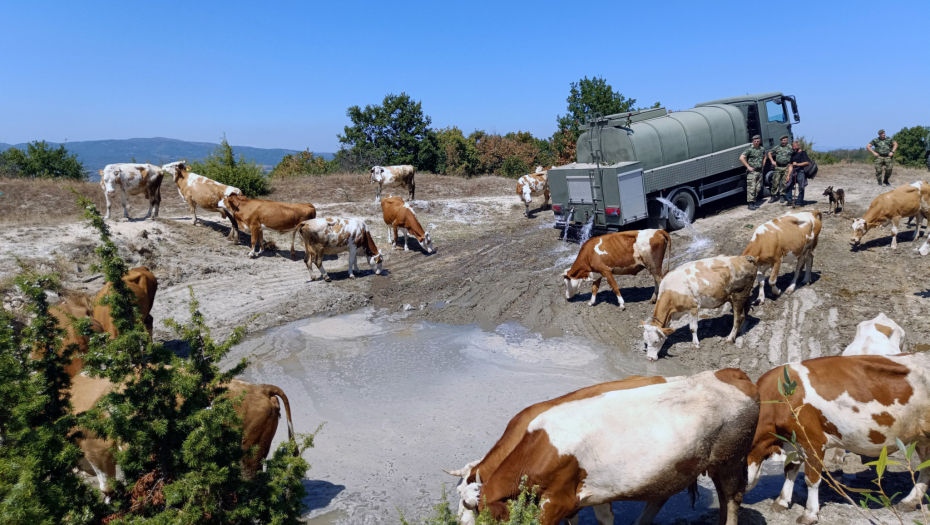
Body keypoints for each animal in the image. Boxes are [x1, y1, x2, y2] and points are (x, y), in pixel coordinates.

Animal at [468, 368, 756, 524]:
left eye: (482, 516)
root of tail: (732, 373)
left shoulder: (555, 501)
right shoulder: (585, 497)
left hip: (730, 461)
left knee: (731, 498)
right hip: (680, 465)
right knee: (664, 495)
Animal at [744, 354, 928, 520]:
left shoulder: (814, 441)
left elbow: (811, 479)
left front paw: (809, 514)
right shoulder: (793, 442)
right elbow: (790, 469)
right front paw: (781, 501)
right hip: (921, 439)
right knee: (926, 467)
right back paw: (909, 502)